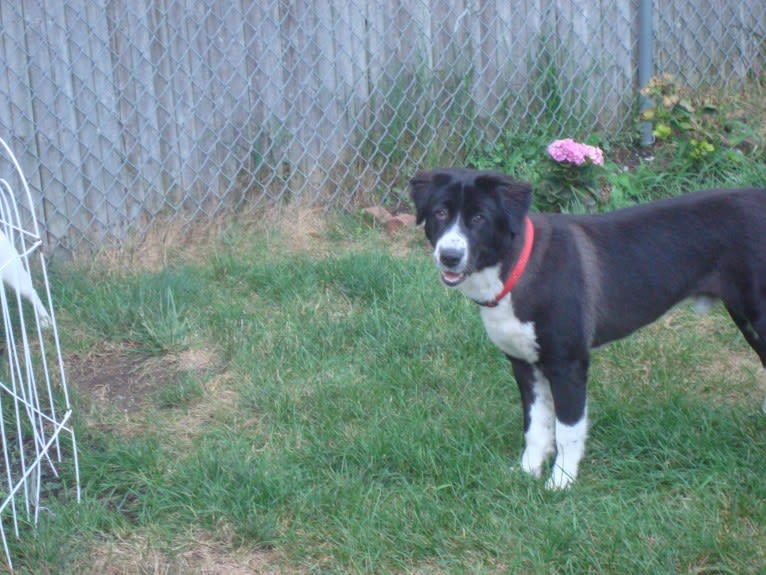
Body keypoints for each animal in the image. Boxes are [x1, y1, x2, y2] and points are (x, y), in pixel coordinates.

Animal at [412, 166, 766, 490]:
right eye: (440, 213)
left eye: (479, 218)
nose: (449, 256)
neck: (515, 269)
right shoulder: (524, 364)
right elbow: (535, 426)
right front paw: (527, 472)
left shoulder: (568, 365)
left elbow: (567, 429)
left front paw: (561, 482)